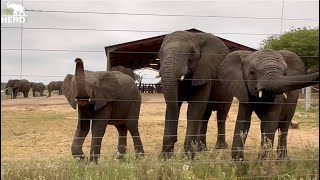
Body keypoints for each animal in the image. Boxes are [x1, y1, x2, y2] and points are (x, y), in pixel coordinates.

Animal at [159, 29, 232, 158]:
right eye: (161, 53)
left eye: (192, 52)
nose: (175, 140)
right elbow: (175, 106)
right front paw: (165, 157)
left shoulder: (205, 71)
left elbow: (194, 109)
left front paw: (189, 158)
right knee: (205, 116)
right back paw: (201, 149)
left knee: (221, 114)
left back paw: (220, 147)